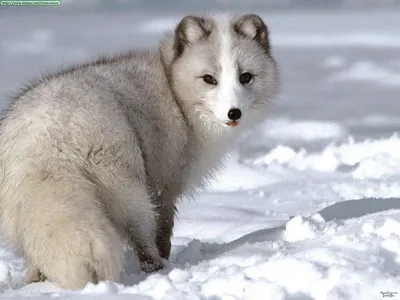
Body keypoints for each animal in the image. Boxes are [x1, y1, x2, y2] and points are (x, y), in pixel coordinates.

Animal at [0, 13, 278, 288]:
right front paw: (164, 257)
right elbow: (164, 228)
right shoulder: (164, 184)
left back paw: (34, 281)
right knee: (141, 234)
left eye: (246, 77)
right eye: (209, 79)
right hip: (129, 191)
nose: (234, 113)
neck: (174, 91)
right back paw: (156, 267)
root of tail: (49, 139)